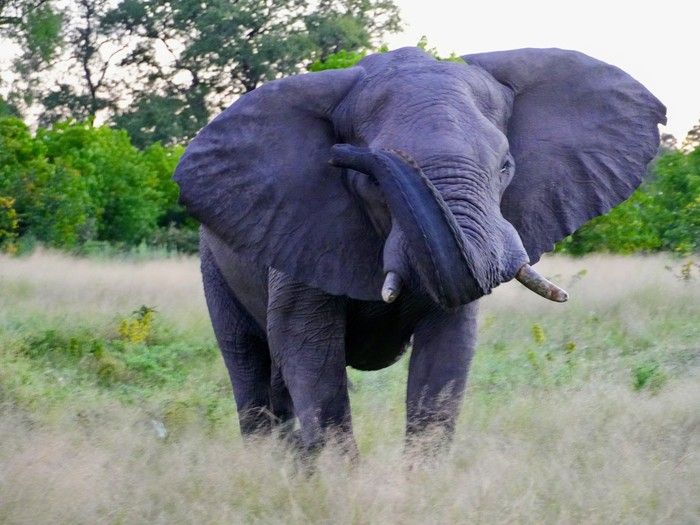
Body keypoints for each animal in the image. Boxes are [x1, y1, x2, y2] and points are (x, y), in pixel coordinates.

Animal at [173, 47, 665, 454]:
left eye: (505, 166)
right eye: (369, 179)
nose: (344, 152)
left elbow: (445, 360)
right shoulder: (300, 225)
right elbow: (308, 351)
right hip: (213, 263)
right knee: (250, 368)